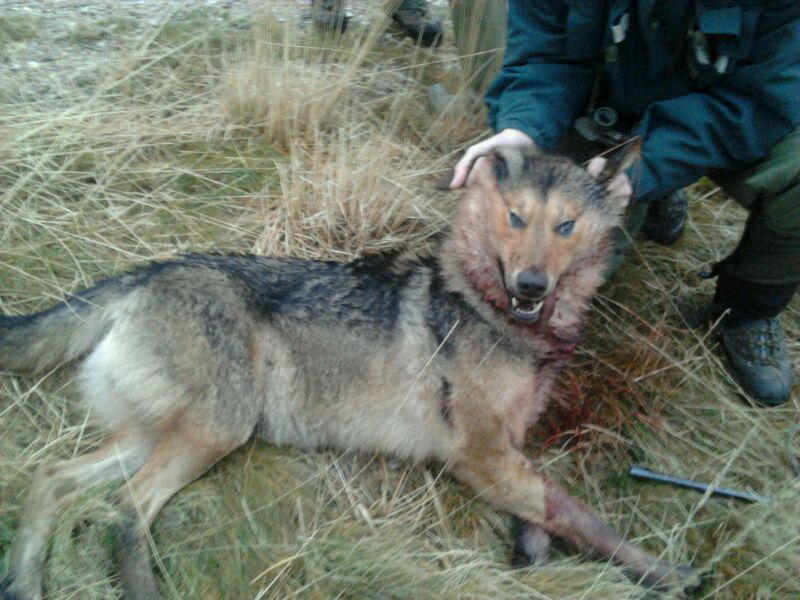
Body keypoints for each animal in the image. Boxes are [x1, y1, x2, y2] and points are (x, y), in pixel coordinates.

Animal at [0, 148, 697, 599]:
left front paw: (530, 550)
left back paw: (25, 582)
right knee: (124, 512)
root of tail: (144, 273)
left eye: (566, 226)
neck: (495, 313)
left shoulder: (509, 446)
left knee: (51, 480)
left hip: (155, 436)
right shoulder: (477, 454)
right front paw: (664, 572)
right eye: (516, 218)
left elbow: (548, 504)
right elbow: (583, 515)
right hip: (218, 430)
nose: (530, 284)